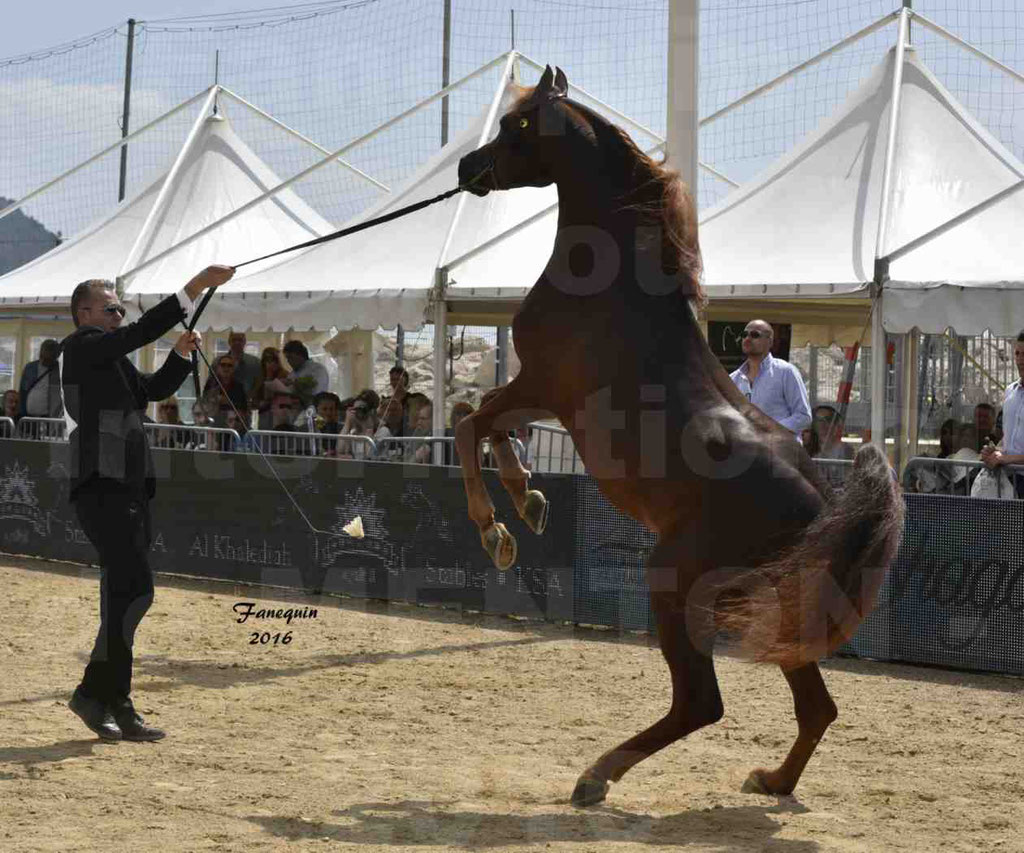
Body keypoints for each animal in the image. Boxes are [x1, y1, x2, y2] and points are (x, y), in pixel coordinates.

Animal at [452, 66, 901, 806]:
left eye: (516, 124)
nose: (467, 168)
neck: (610, 284)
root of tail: (823, 503)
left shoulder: (542, 386)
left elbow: (469, 422)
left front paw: (500, 529)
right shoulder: (535, 394)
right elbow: (486, 423)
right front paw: (531, 502)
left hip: (675, 581)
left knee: (701, 703)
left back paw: (596, 776)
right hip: (768, 603)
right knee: (815, 707)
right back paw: (772, 780)